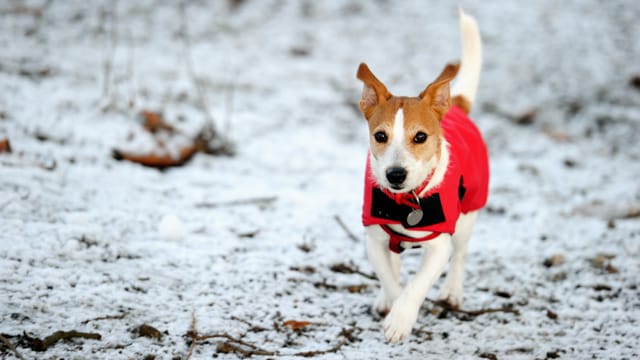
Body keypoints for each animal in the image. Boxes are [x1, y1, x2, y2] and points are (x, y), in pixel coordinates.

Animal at [356, 10, 490, 344]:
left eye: (420, 136)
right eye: (380, 136)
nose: (395, 174)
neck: (406, 200)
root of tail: (457, 105)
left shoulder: (439, 246)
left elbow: (417, 284)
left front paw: (400, 319)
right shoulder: (374, 238)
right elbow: (391, 279)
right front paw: (391, 303)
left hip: (468, 213)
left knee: (461, 254)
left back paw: (452, 292)